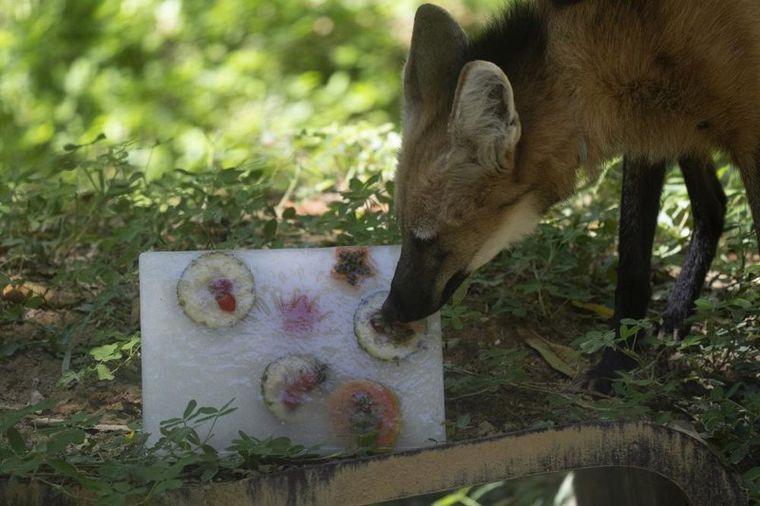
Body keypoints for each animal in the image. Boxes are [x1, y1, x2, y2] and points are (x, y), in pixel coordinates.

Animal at [382, 0, 760, 384]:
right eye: (403, 231)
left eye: (427, 239)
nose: (388, 311)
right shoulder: (647, 125)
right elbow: (632, 263)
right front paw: (617, 362)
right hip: (688, 127)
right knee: (714, 204)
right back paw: (677, 316)